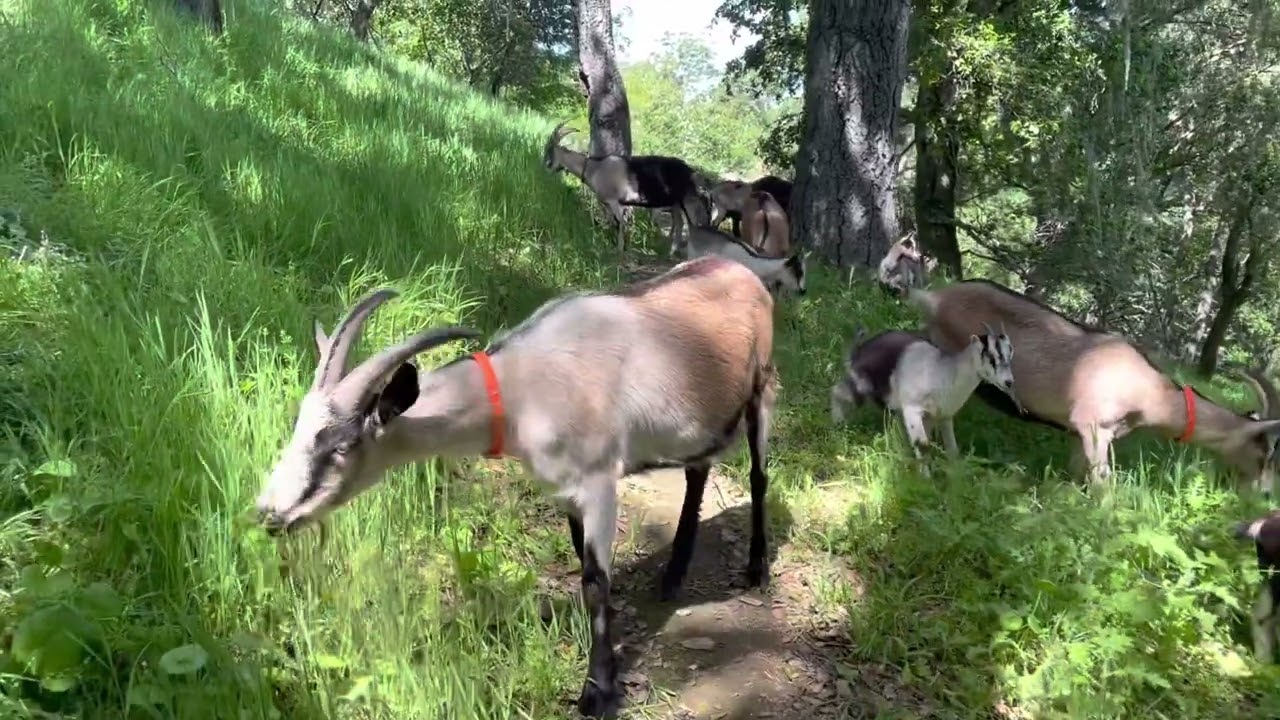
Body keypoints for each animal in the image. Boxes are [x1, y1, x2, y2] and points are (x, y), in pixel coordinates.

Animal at [253, 256, 778, 719]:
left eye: (340, 445)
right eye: (298, 427)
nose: (268, 512)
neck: (522, 388)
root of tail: (743, 270)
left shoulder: (599, 481)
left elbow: (595, 582)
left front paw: (598, 693)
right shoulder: (566, 490)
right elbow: (583, 567)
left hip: (762, 389)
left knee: (758, 474)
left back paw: (755, 568)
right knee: (698, 470)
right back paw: (673, 576)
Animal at [542, 122, 708, 253]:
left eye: (549, 150)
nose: (546, 166)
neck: (595, 169)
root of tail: (690, 171)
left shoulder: (615, 201)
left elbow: (620, 223)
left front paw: (620, 248)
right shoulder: (609, 204)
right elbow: (614, 223)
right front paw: (613, 242)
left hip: (684, 202)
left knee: (688, 224)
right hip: (675, 205)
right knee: (680, 224)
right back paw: (672, 250)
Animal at [830, 324, 1018, 458]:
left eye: (1010, 354)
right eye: (991, 357)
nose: (1008, 382)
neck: (946, 373)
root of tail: (860, 349)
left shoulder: (942, 416)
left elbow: (952, 449)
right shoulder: (912, 410)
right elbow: (923, 445)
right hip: (860, 384)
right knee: (836, 391)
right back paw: (839, 425)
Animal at [910, 280, 1280, 493]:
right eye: (1266, 452)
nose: (1263, 494)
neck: (1152, 393)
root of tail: (933, 297)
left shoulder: (1080, 431)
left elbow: (1076, 476)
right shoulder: (1091, 423)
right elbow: (1104, 487)